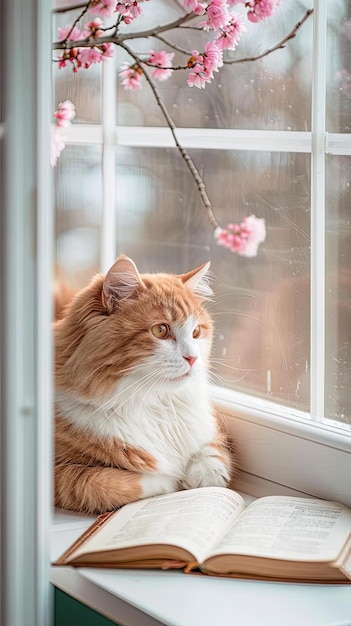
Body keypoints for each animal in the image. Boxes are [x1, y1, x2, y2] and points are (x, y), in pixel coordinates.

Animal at [55, 254, 235, 512]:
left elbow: (211, 452)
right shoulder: (60, 474)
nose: (193, 358)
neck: (152, 402)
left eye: (196, 332)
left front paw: (203, 475)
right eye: (160, 330)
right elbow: (110, 483)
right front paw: (175, 480)